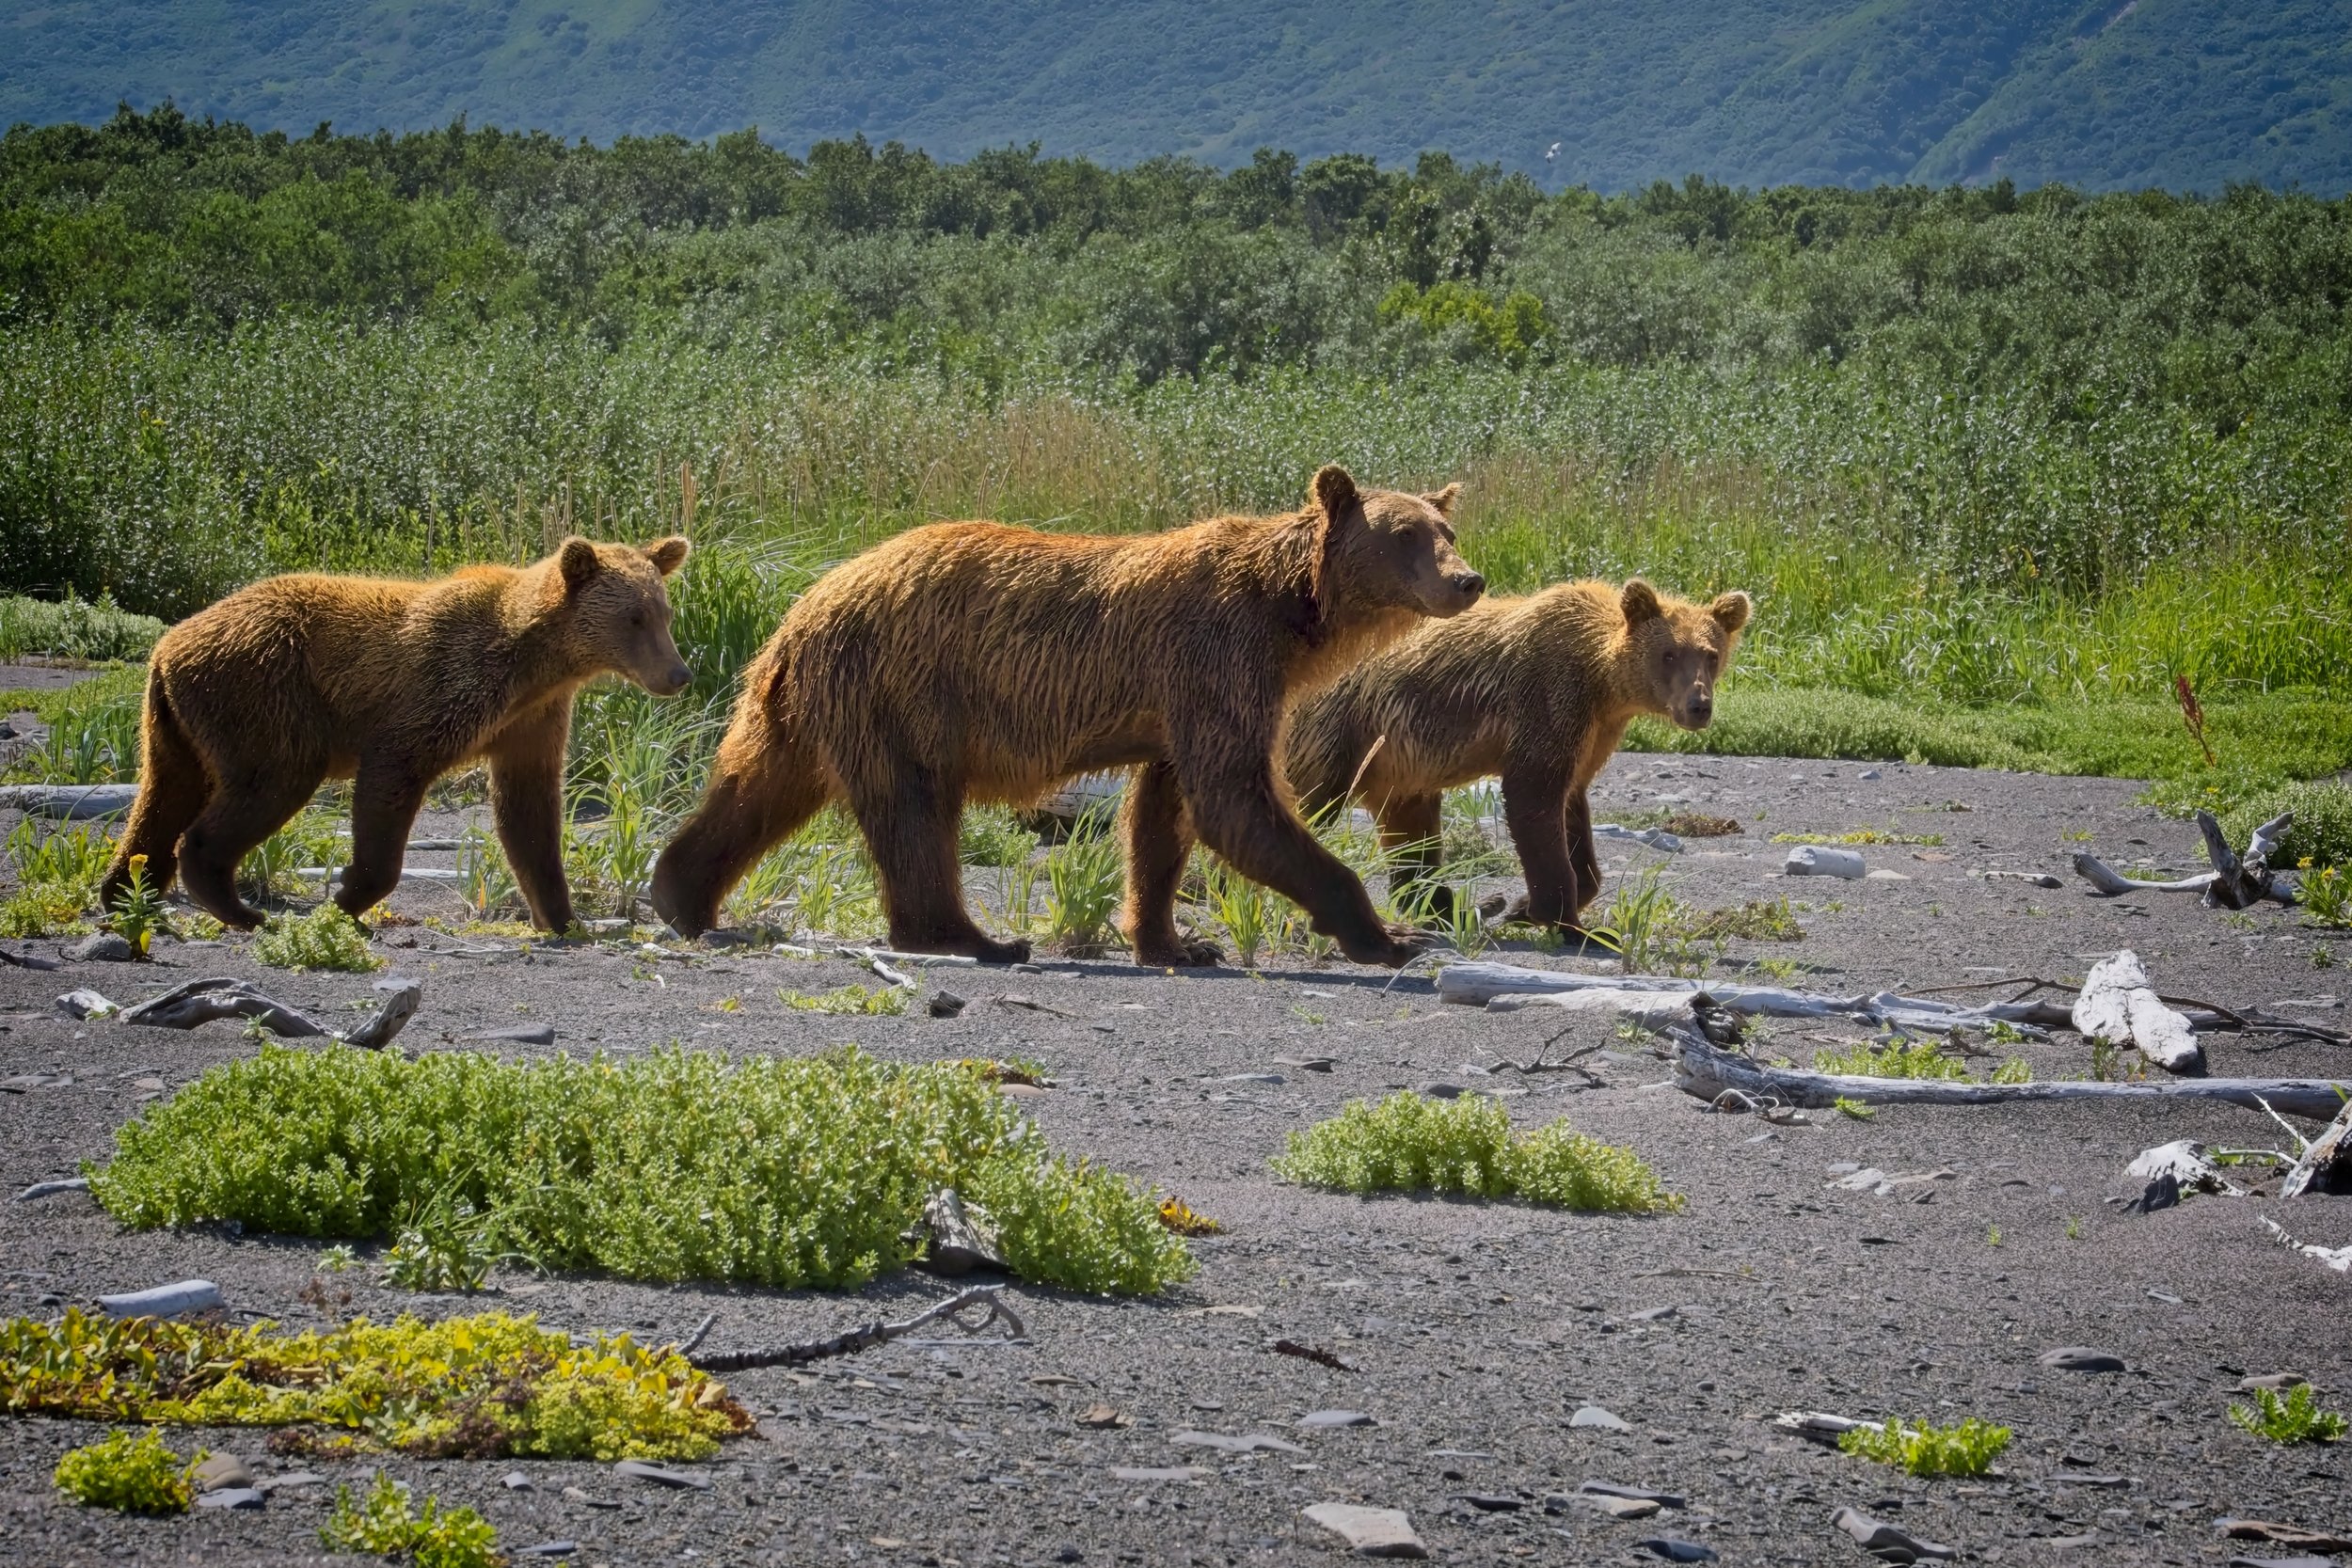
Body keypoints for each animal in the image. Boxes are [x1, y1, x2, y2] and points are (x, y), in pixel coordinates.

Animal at [99, 536, 694, 934]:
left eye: (664, 612)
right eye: (635, 618)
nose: (679, 674)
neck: (537, 662)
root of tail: (166, 647)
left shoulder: (532, 718)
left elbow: (529, 810)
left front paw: (564, 918)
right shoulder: (446, 685)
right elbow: (394, 770)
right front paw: (346, 898)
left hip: (177, 722)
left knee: (164, 794)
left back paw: (126, 892)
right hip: (264, 689)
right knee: (270, 780)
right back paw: (237, 907)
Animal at [649, 465, 1485, 966]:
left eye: (1448, 531)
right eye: (1405, 534)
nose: (1469, 579)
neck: (1290, 612)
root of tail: (802, 607)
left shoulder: (1188, 691)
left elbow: (1166, 813)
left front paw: (1172, 940)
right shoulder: (1218, 655)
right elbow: (1236, 799)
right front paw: (1388, 932)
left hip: (814, 703)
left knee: (761, 785)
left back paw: (680, 892)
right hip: (904, 687)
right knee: (916, 812)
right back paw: (973, 937)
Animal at [1284, 577, 1750, 930]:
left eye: (1711, 655)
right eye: (1668, 654)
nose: (1699, 706)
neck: (1602, 681)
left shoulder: (1593, 731)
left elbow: (1570, 803)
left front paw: (1526, 905)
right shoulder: (1550, 696)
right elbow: (1533, 794)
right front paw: (1558, 916)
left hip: (1397, 764)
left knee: (1412, 834)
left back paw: (1449, 909)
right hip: (1339, 729)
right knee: (1313, 801)